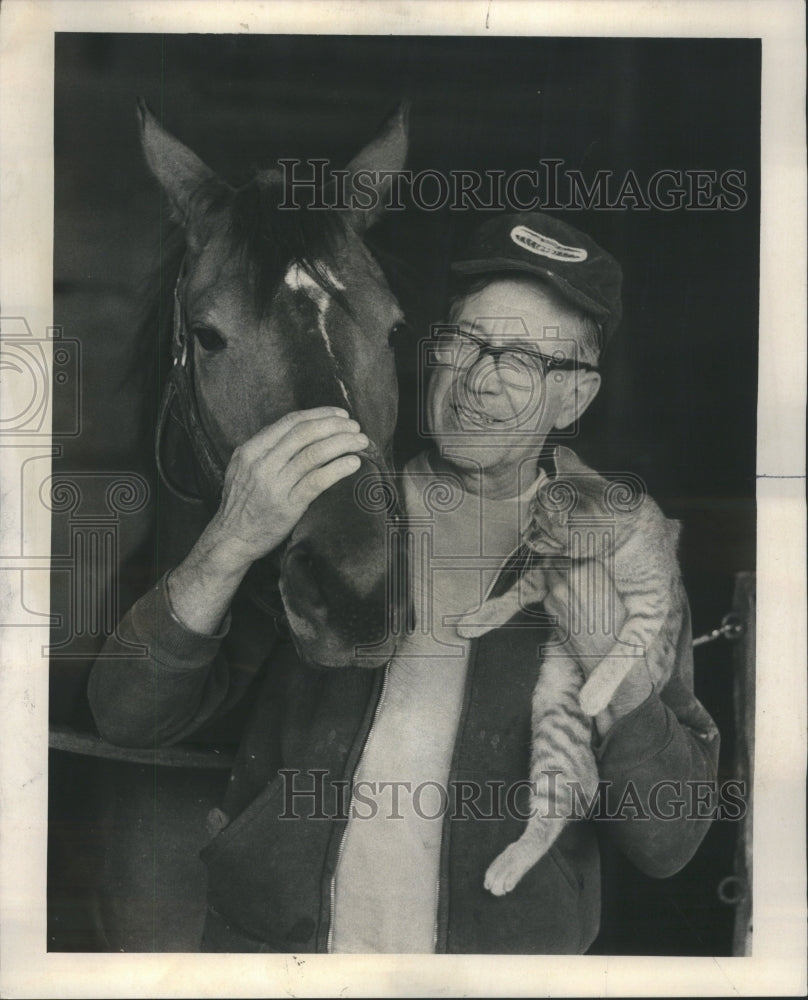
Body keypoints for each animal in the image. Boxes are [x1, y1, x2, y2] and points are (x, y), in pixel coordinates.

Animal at [454, 448, 688, 900]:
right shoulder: (544, 574)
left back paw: (506, 867)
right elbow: (510, 597)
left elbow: (621, 652)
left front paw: (597, 690)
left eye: (537, 523)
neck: (606, 558)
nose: (522, 533)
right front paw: (478, 618)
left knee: (555, 813)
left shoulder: (648, 610)